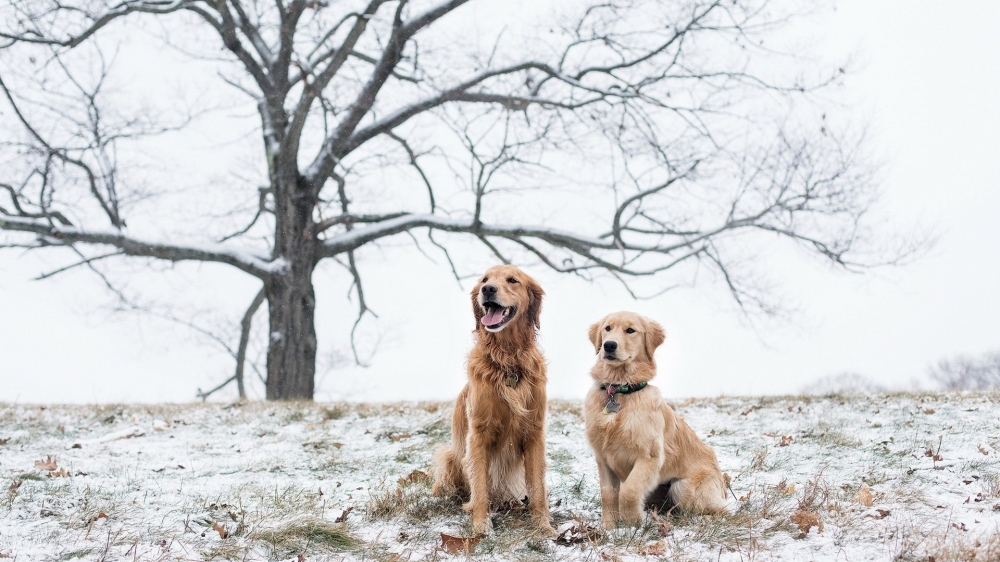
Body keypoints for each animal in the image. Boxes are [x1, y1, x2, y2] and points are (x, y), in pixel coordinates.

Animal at [430, 262, 556, 532]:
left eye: (512, 280)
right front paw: (481, 525)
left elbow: (538, 488)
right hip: (449, 456)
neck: (508, 360)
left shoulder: (534, 431)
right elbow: (480, 487)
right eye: (485, 279)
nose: (487, 290)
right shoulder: (478, 433)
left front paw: (543, 525)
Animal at [584, 310, 732, 524]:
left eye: (630, 330)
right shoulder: (603, 459)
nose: (609, 345)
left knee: (718, 509)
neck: (620, 390)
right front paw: (608, 527)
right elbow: (608, 494)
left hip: (682, 487)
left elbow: (629, 491)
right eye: (607, 328)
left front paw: (633, 524)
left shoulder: (649, 457)